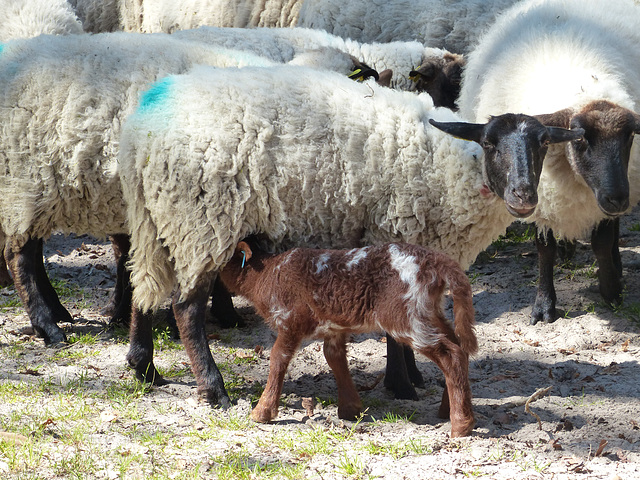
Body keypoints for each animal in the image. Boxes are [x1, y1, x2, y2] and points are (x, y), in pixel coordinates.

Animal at [115, 62, 580, 416]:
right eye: (488, 142)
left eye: (542, 144)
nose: (524, 196)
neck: (451, 166)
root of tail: (140, 131)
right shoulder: (394, 231)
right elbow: (393, 331)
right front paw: (401, 384)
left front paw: (412, 376)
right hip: (203, 220)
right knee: (186, 308)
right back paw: (214, 390)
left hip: (155, 220)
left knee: (142, 285)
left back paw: (144, 368)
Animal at [218, 239, 478, 436]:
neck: (268, 274)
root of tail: (438, 261)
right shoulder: (333, 329)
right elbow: (335, 359)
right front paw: (350, 409)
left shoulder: (290, 320)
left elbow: (277, 359)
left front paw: (262, 412)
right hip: (429, 312)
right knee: (460, 348)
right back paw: (449, 411)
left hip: (407, 318)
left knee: (451, 355)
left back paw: (460, 425)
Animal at [458, 0, 640, 326]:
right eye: (580, 139)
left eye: (630, 136)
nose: (618, 198)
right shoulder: (542, 198)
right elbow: (545, 250)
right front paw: (544, 305)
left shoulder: (605, 195)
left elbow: (603, 240)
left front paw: (611, 290)